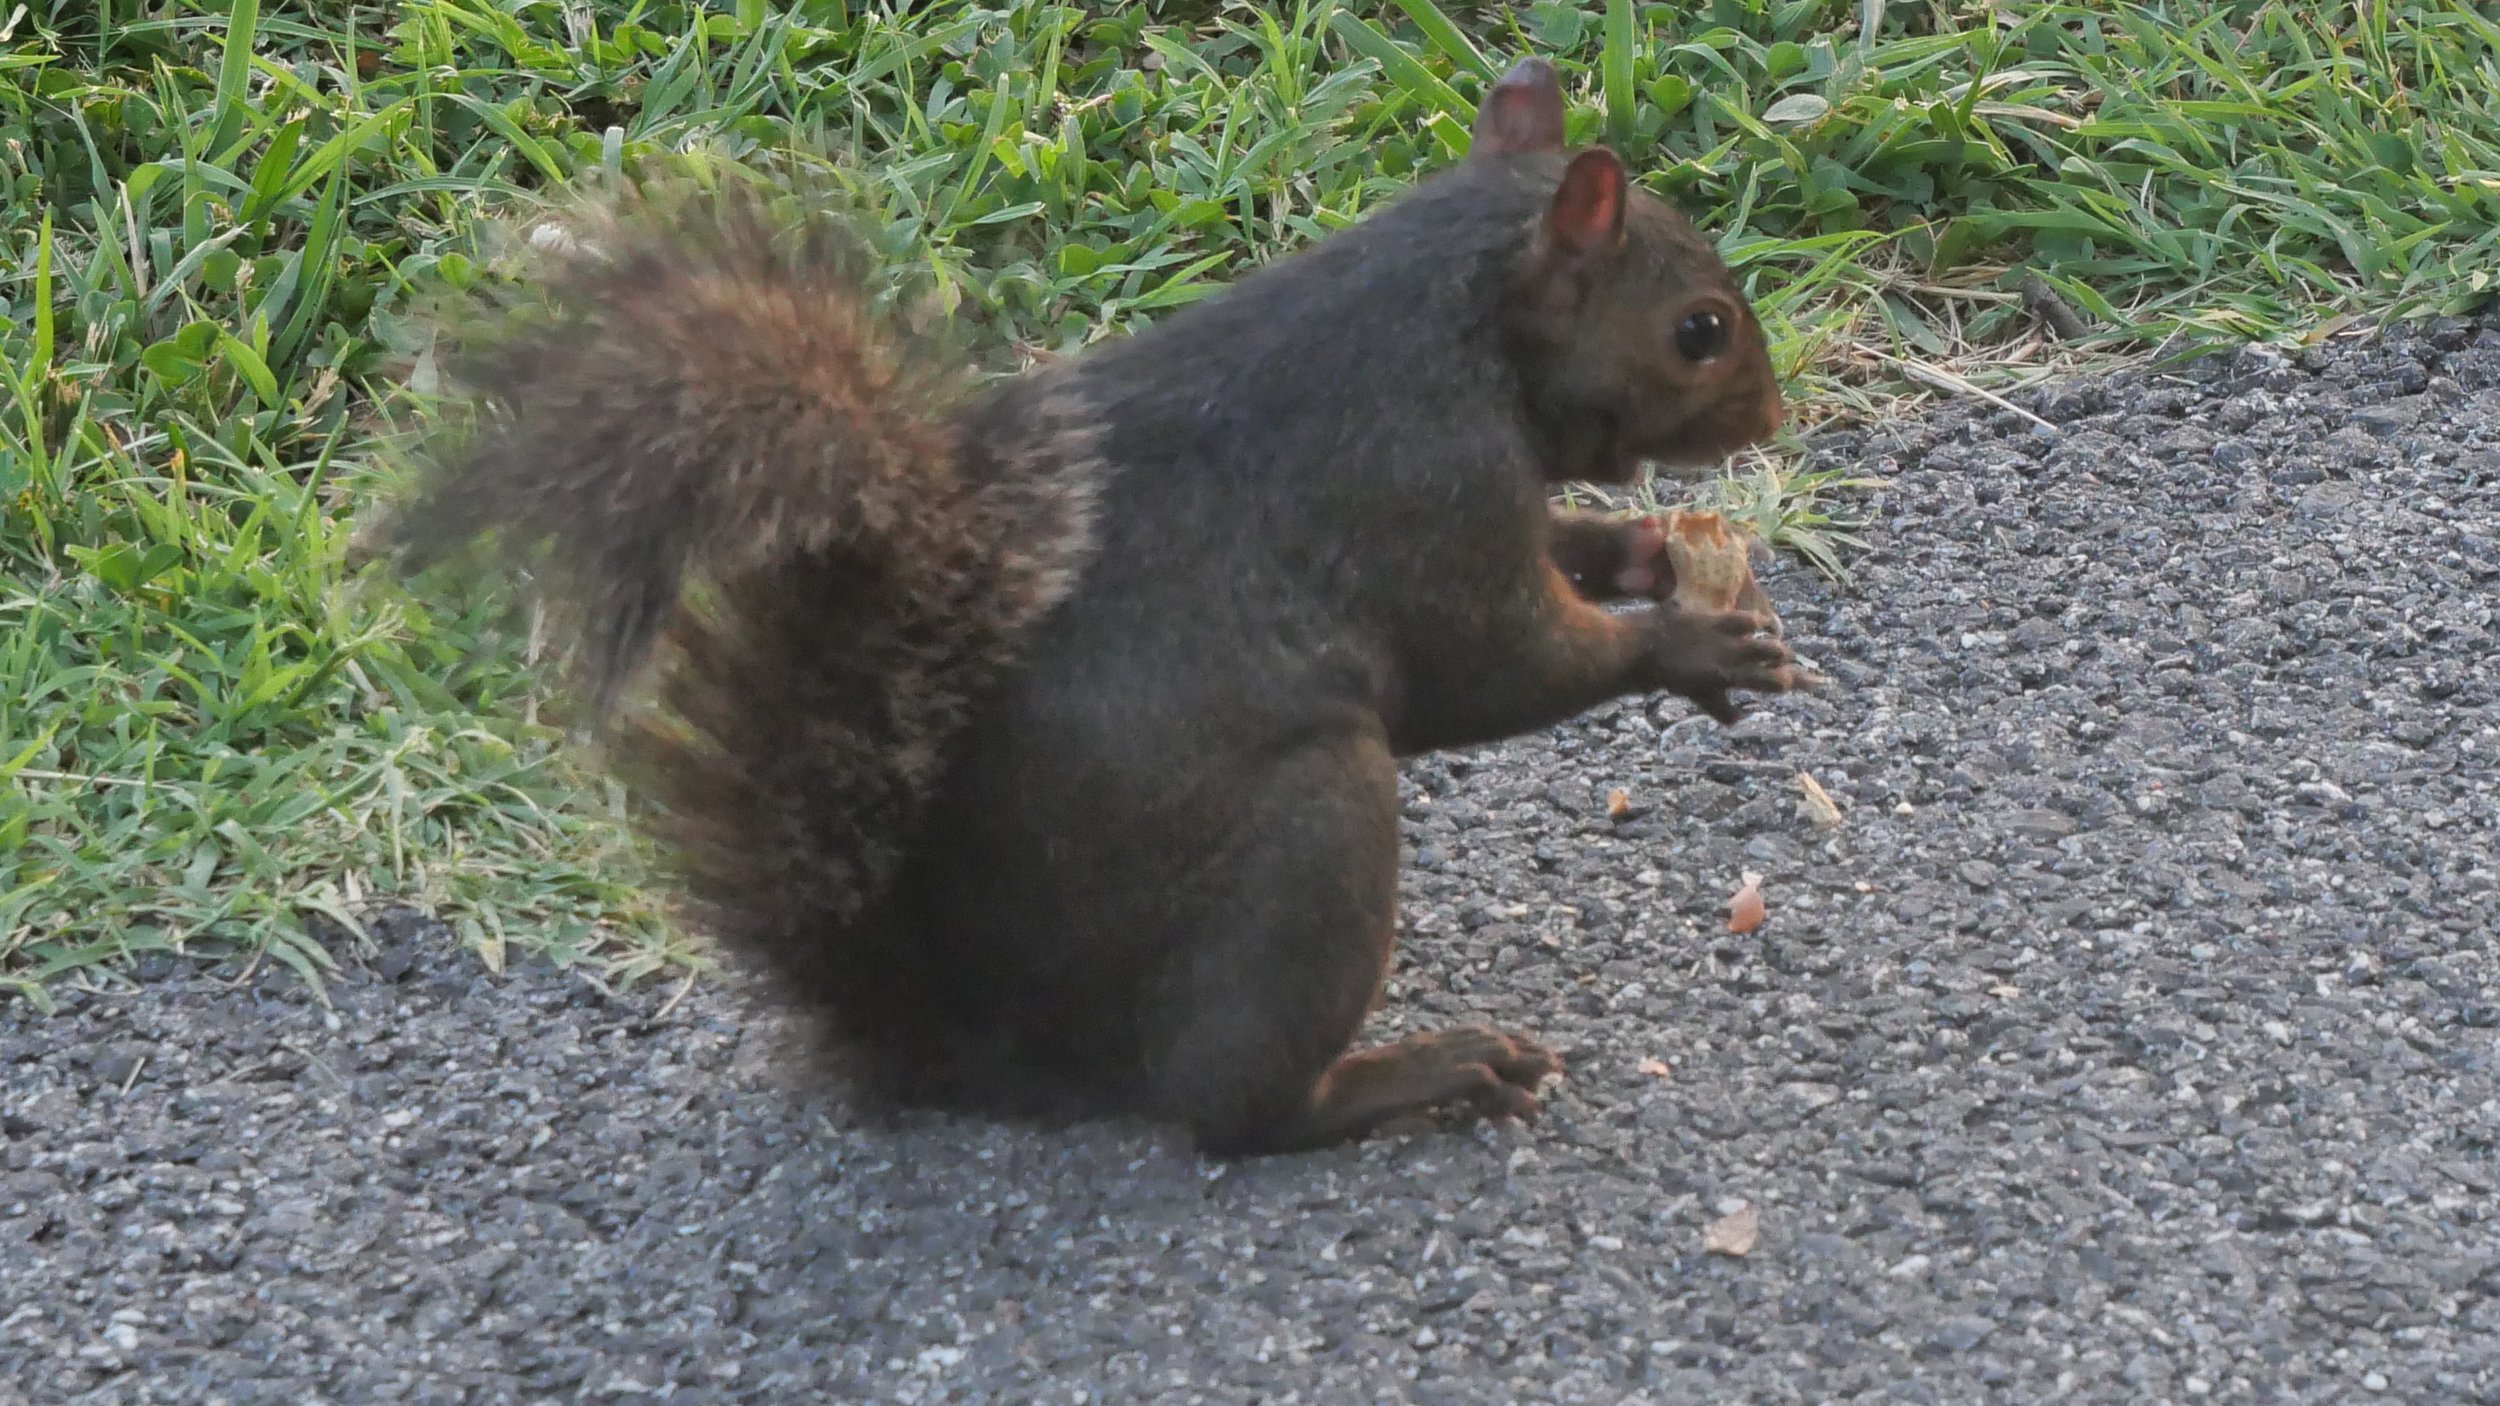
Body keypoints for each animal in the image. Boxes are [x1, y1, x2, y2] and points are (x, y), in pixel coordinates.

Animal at [381, 57, 1813, 1157]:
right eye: (1698, 329)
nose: (1769, 418)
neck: (1454, 316)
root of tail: (995, 1048)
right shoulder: (1422, 491)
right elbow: (1496, 667)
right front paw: (1692, 639)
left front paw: (1642, 551)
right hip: (1310, 830)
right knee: (1231, 1109)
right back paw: (1419, 1071)